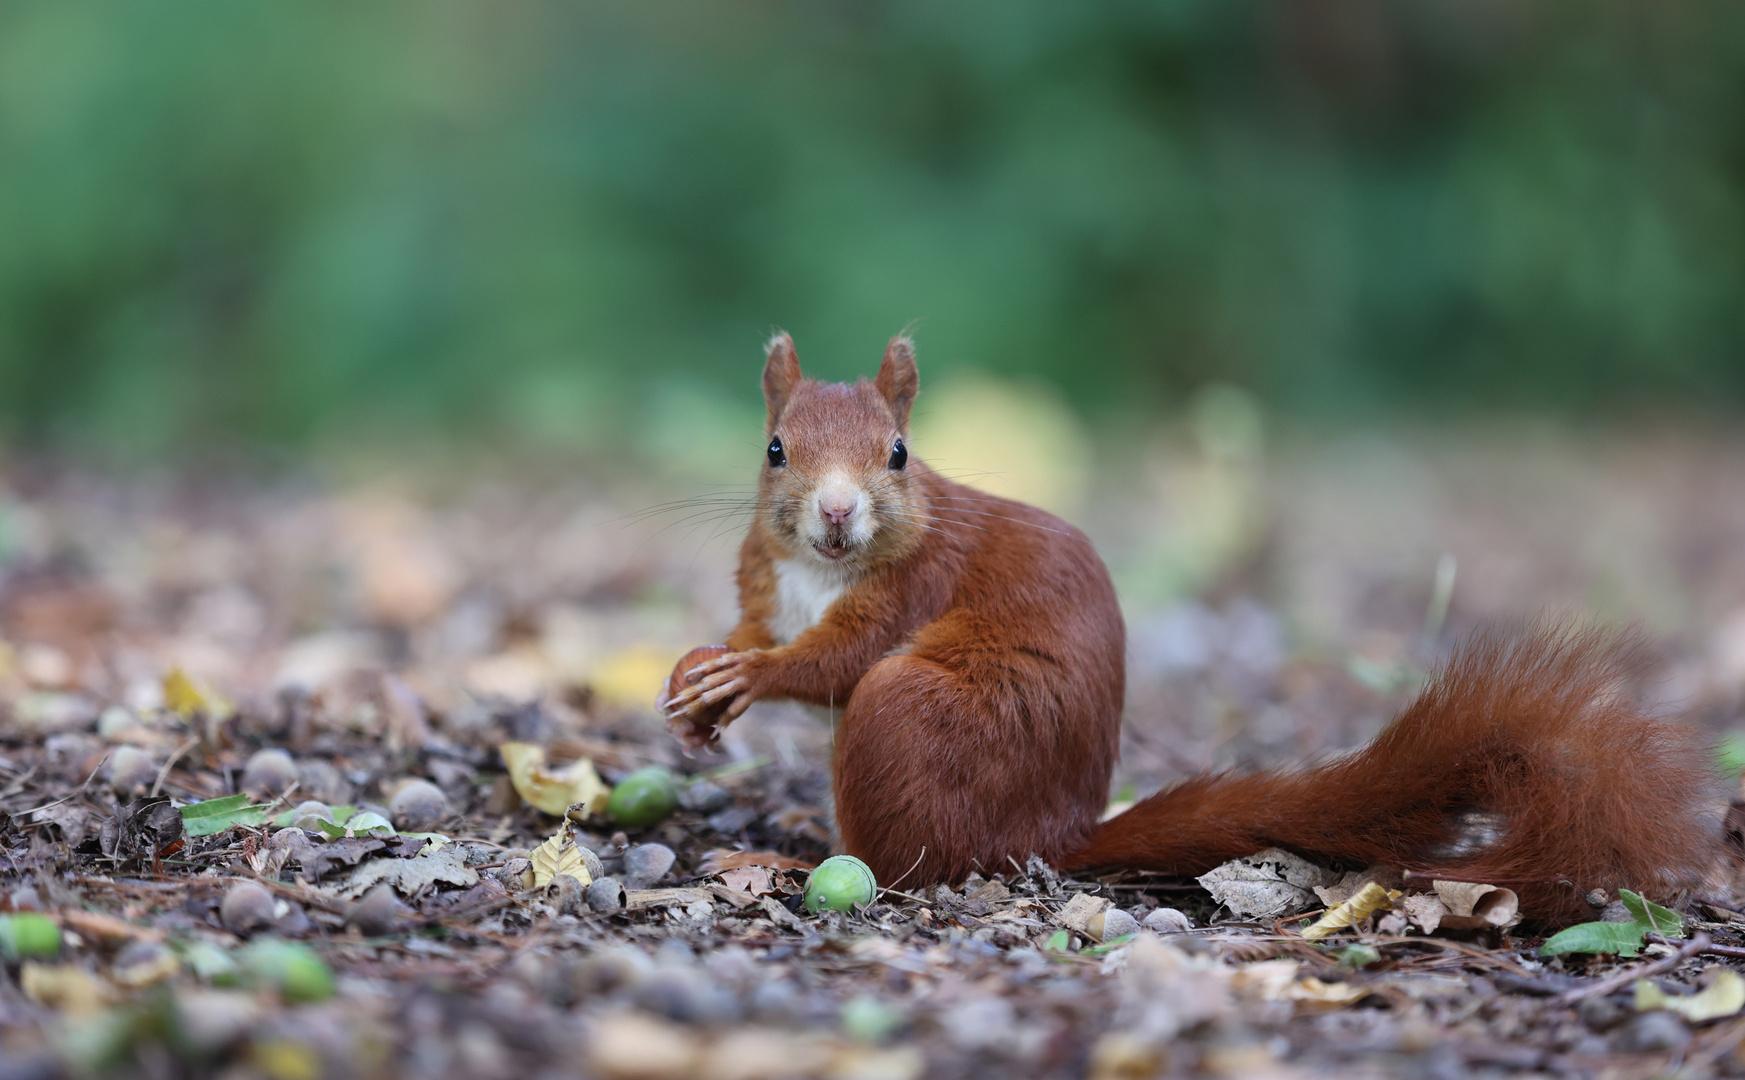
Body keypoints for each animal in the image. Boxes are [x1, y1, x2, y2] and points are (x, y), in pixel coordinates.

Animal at [663, 333, 1717, 914]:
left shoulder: (914, 590)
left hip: (911, 718)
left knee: (900, 855)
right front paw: (700, 683)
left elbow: (836, 658)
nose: (838, 513)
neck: (822, 568)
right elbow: (758, 634)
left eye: (897, 454)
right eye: (773, 450)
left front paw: (750, 680)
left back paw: (782, 855)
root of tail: (1051, 838)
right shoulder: (768, 590)